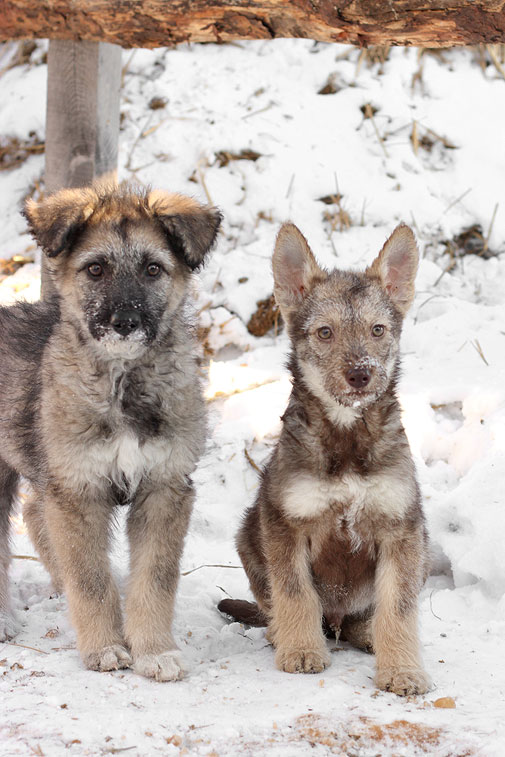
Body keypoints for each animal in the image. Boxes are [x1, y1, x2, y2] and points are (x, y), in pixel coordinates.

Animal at [0, 180, 221, 680]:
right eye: (95, 269)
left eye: (153, 269)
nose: (125, 323)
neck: (121, 382)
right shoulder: (78, 490)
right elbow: (91, 578)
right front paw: (104, 646)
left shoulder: (163, 486)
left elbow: (155, 580)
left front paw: (154, 649)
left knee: (36, 516)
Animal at [219, 222, 431, 696]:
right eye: (324, 332)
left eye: (377, 330)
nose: (360, 374)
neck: (348, 437)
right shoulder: (285, 525)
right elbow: (296, 594)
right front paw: (301, 651)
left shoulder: (401, 529)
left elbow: (399, 607)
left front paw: (402, 669)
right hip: (248, 535)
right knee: (280, 606)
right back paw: (284, 633)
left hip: (424, 546)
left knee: (361, 620)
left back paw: (367, 635)